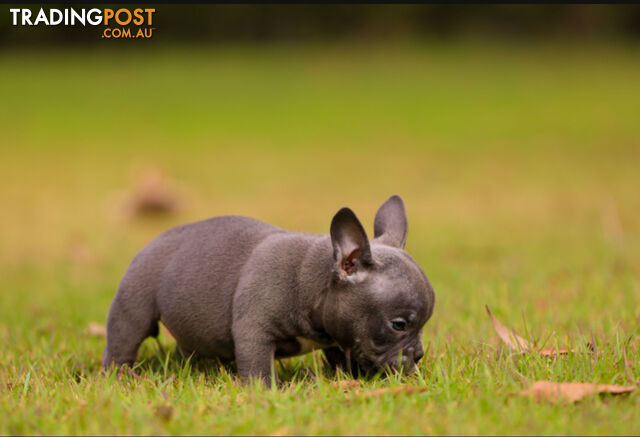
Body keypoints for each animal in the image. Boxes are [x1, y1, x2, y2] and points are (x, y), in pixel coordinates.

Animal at [104, 193, 436, 382]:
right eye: (398, 325)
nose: (418, 354)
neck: (309, 282)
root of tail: (156, 239)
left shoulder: (337, 335)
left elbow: (341, 355)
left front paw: (351, 379)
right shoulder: (254, 333)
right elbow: (258, 367)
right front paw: (262, 392)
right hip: (134, 305)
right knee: (124, 340)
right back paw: (120, 376)